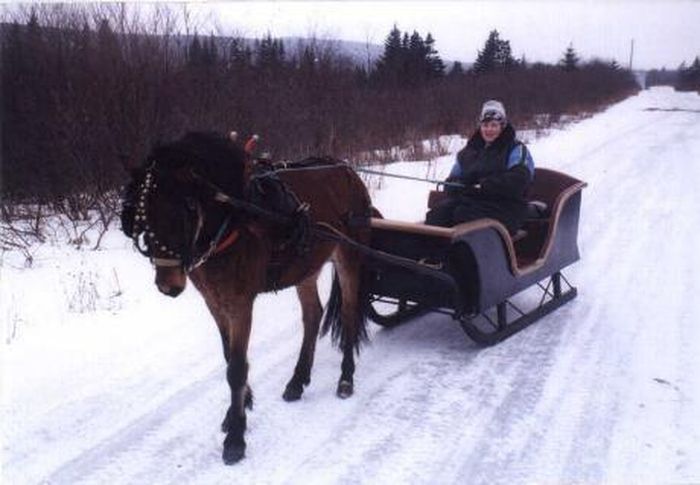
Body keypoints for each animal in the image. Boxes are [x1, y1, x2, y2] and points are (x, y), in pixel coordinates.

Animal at [120, 131, 372, 464]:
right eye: (142, 216)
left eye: (187, 208)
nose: (168, 285)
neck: (235, 217)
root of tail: (347, 170)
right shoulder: (214, 301)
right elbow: (229, 355)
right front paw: (236, 411)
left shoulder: (241, 303)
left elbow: (237, 367)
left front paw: (236, 437)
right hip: (305, 266)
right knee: (312, 315)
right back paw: (297, 380)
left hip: (349, 255)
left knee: (349, 313)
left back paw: (346, 378)